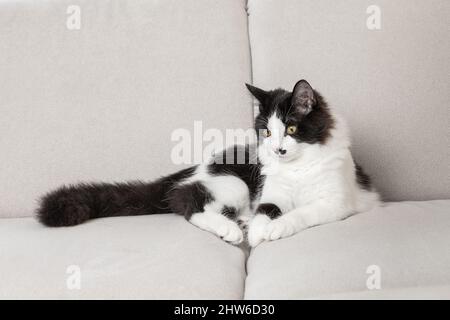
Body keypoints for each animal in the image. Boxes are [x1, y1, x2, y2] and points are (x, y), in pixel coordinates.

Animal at [37, 80, 380, 248]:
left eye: (292, 129)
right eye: (267, 131)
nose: (277, 149)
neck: (297, 166)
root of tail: (194, 167)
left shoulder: (335, 201)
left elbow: (301, 213)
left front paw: (271, 229)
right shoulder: (272, 193)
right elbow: (267, 210)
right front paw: (259, 232)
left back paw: (240, 223)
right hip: (233, 183)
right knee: (187, 203)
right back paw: (231, 230)